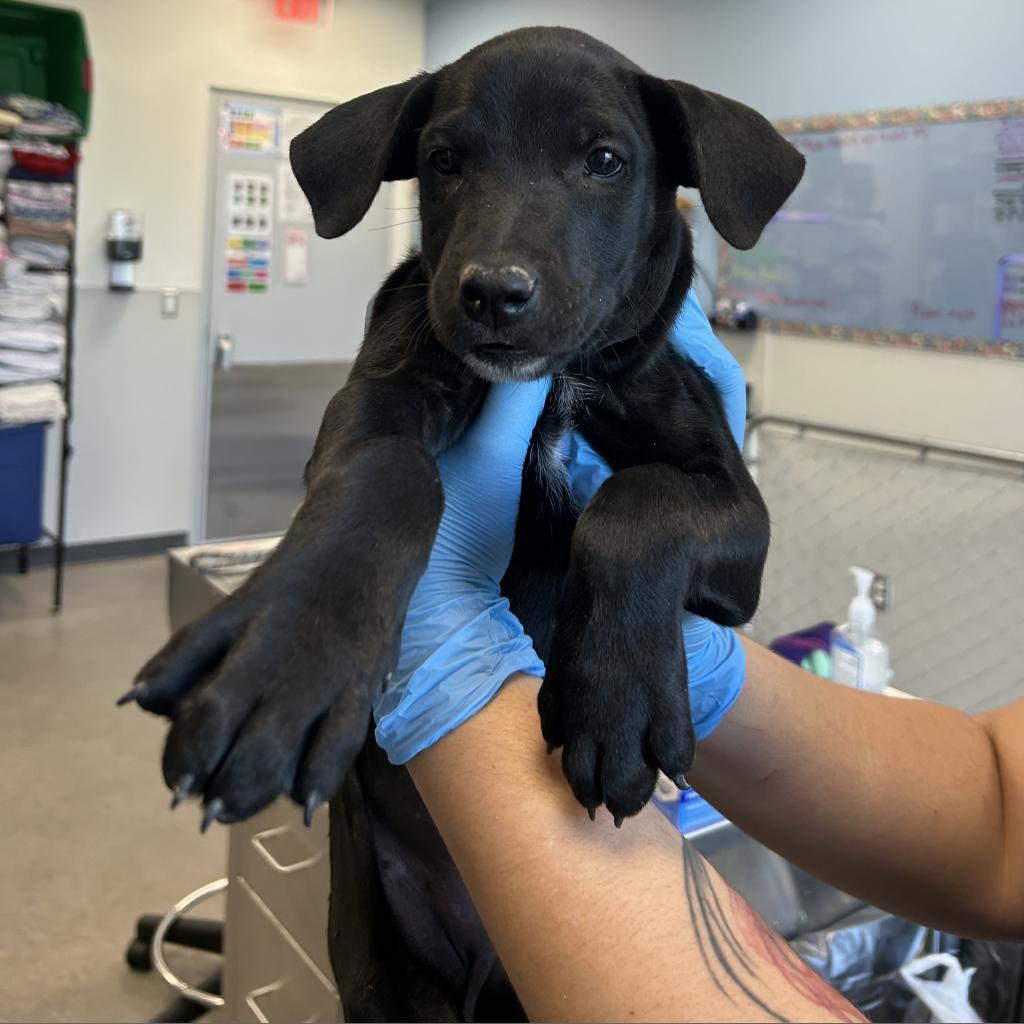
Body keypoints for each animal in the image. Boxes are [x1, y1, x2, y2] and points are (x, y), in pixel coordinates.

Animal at [125, 28, 798, 831]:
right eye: (444, 160)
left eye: (605, 160)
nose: (494, 294)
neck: (556, 384)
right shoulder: (381, 394)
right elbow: (388, 469)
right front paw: (289, 658)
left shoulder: (738, 512)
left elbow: (638, 503)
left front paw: (613, 701)